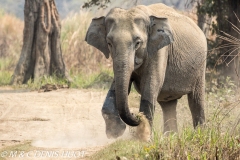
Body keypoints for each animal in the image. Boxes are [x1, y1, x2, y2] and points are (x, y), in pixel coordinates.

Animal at [85, 3, 207, 139]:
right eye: (109, 43)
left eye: (138, 43)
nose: (135, 115)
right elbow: (119, 83)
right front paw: (115, 132)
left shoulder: (159, 49)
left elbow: (151, 85)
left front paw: (143, 137)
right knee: (168, 104)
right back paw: (170, 137)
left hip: (200, 66)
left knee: (196, 100)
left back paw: (200, 135)